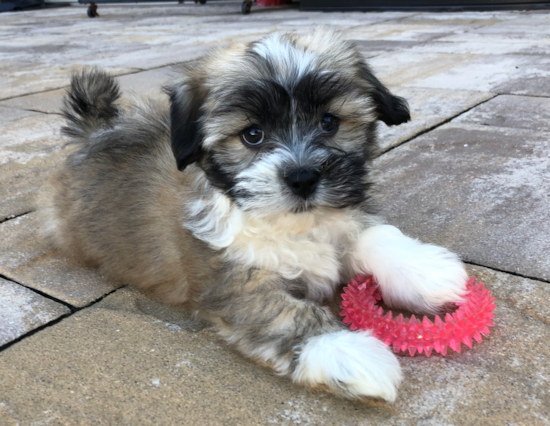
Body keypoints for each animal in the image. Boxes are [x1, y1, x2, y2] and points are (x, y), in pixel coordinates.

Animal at [40, 30, 470, 402]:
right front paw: (344, 349)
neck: (293, 223)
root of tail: (94, 135)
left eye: (329, 122)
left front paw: (425, 270)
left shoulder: (341, 215)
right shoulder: (232, 283)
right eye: (252, 135)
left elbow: (372, 235)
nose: (303, 177)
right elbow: (285, 313)